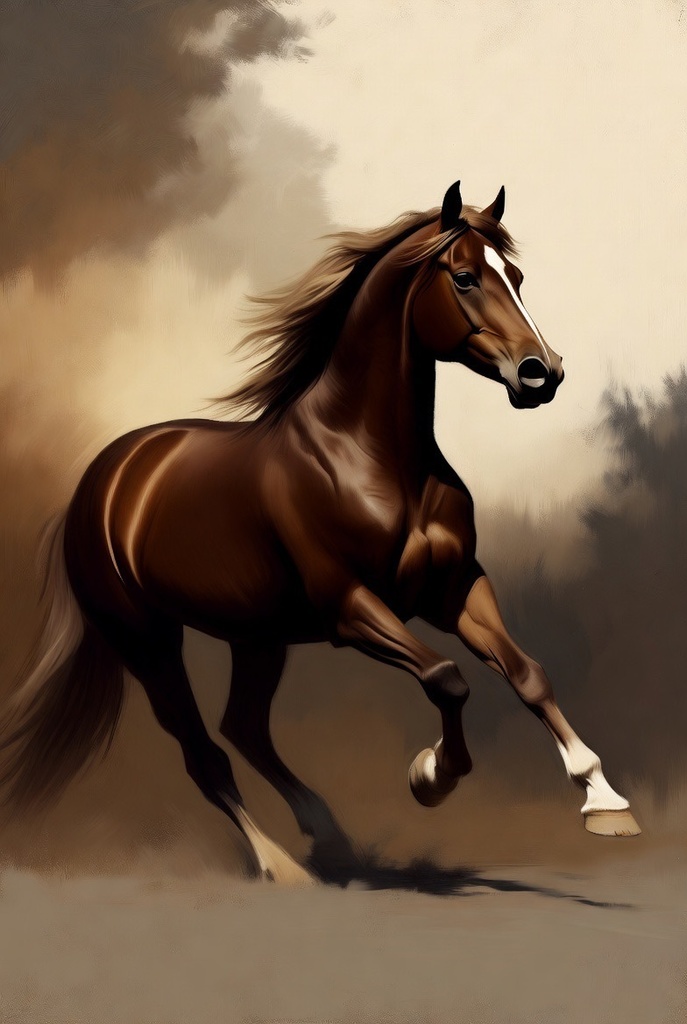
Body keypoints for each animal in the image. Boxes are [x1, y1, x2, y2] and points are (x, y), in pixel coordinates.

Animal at [0, 181, 640, 885]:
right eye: (466, 277)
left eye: (517, 277)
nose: (541, 372)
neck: (375, 459)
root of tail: (102, 479)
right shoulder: (349, 608)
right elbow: (446, 676)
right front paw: (432, 775)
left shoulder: (455, 590)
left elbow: (528, 674)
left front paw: (605, 802)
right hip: (147, 641)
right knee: (203, 751)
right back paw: (280, 864)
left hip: (256, 635)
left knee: (243, 727)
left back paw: (327, 835)